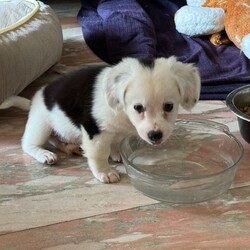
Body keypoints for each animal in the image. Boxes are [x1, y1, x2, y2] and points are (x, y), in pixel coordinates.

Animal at [0, 58, 201, 184]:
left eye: (169, 106)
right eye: (138, 108)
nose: (155, 136)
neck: (123, 113)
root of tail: (33, 100)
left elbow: (116, 143)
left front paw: (117, 152)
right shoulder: (95, 131)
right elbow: (99, 154)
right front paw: (104, 171)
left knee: (57, 139)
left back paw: (70, 147)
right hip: (41, 124)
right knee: (28, 144)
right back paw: (44, 154)